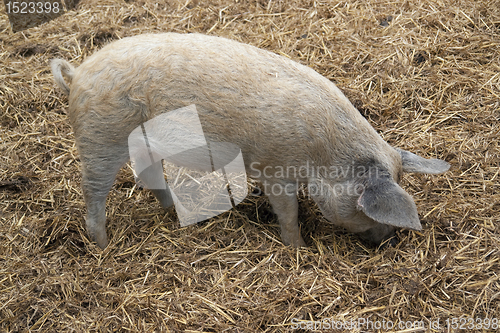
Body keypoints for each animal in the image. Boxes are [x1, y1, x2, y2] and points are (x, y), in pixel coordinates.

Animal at [50, 32, 450, 248]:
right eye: (365, 209)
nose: (390, 239)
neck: (324, 155)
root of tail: (77, 74)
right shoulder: (276, 170)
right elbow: (288, 214)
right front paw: (300, 248)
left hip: (140, 141)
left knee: (148, 174)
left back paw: (175, 210)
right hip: (99, 138)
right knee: (94, 192)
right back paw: (103, 247)